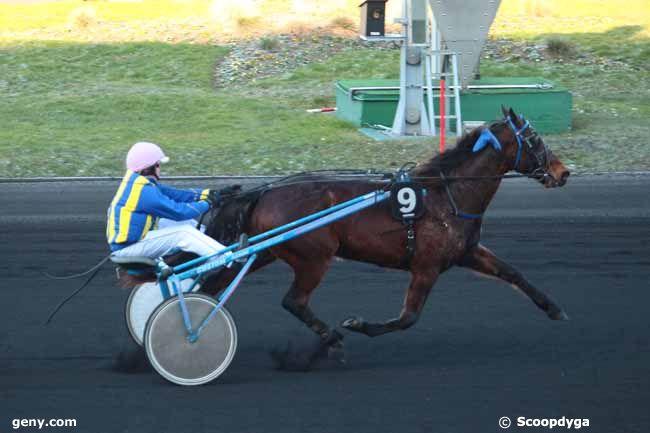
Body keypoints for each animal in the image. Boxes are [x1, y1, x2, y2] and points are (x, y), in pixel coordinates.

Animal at [196, 107, 568, 362]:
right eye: (535, 139)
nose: (563, 172)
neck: (447, 194)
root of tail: (265, 192)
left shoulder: (467, 251)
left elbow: (513, 273)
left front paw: (554, 309)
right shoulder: (426, 266)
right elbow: (408, 317)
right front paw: (357, 324)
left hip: (264, 251)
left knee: (214, 285)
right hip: (314, 258)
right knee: (294, 301)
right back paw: (330, 338)